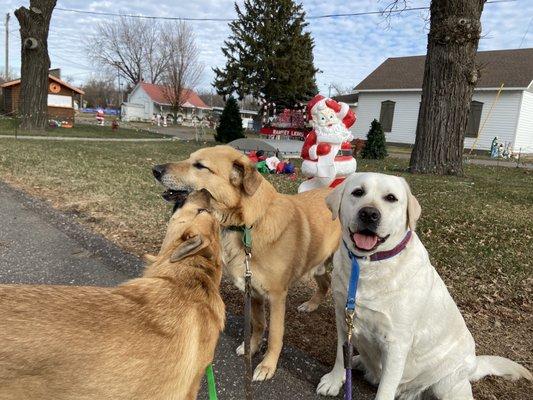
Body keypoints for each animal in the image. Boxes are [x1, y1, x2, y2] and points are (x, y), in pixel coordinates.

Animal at [153, 145, 340, 380]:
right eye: (189, 158)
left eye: (200, 166)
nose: (155, 170)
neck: (247, 225)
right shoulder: (254, 292)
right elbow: (258, 324)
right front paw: (252, 348)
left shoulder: (277, 297)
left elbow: (275, 335)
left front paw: (268, 365)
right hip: (319, 264)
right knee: (325, 283)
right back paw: (311, 304)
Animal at [318, 173, 528, 400]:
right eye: (358, 192)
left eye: (391, 198)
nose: (369, 214)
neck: (367, 265)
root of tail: (474, 365)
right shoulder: (343, 319)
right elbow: (341, 355)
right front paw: (334, 380)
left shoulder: (397, 343)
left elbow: (385, 389)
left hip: (446, 384)